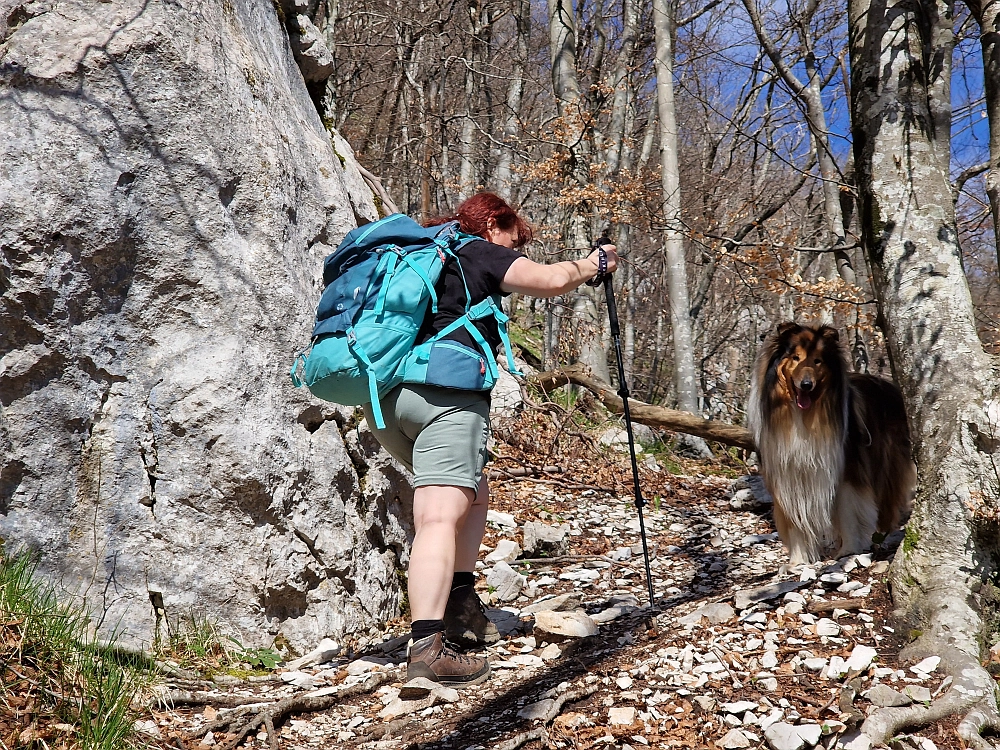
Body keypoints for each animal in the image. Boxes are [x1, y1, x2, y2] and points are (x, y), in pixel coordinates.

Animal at [752, 324, 916, 564]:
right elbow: (794, 521)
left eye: (818, 360)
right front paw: (797, 561)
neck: (803, 417)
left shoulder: (846, 470)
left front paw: (849, 549)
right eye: (795, 357)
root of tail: (891, 386)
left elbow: (848, 511)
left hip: (885, 464)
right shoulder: (787, 474)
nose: (806, 385)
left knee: (887, 503)